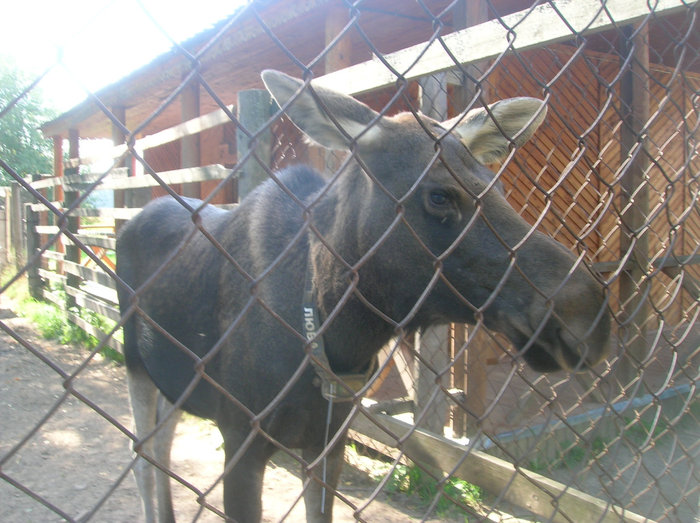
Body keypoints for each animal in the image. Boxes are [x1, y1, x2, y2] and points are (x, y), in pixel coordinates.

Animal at [117, 70, 608, 523]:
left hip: (172, 383)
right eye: (438, 195)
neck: (335, 334)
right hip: (136, 365)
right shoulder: (241, 438)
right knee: (144, 459)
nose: (588, 315)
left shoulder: (328, 443)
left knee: (159, 450)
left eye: (500, 188)